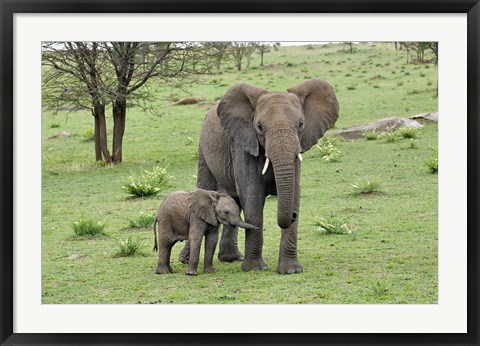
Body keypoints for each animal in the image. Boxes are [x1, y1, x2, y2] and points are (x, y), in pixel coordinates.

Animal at [178, 78, 340, 274]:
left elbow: (294, 193)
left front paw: (291, 271)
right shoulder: (244, 145)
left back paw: (231, 258)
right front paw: (255, 268)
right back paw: (186, 260)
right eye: (260, 127)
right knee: (207, 188)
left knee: (234, 200)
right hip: (203, 151)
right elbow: (253, 197)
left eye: (301, 124)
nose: (293, 216)